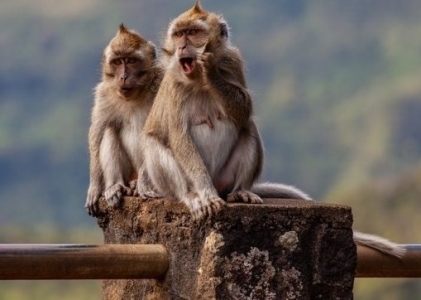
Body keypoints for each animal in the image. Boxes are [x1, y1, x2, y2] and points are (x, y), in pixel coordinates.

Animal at [85, 23, 162, 216]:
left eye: (131, 61)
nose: (124, 77)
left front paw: (144, 182)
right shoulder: (104, 94)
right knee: (109, 129)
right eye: (118, 62)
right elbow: (97, 132)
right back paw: (115, 186)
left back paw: (137, 184)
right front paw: (95, 187)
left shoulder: (161, 83)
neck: (135, 95)